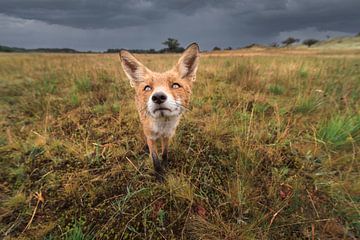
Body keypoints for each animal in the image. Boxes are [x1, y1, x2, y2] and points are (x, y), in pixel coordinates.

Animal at [120, 43, 201, 181]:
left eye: (175, 85)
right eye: (148, 88)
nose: (158, 97)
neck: (162, 126)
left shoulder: (168, 135)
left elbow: (164, 153)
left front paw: (165, 166)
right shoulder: (151, 137)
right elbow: (155, 159)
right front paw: (160, 177)